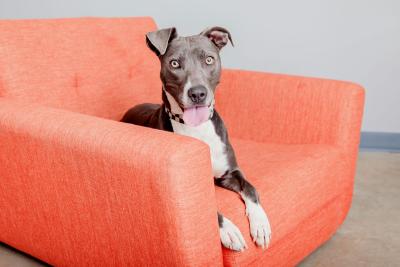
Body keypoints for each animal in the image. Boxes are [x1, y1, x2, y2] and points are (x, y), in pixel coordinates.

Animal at [121, 26, 272, 252]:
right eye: (174, 63)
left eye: (209, 59)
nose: (198, 93)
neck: (197, 128)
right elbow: (209, 210)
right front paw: (228, 229)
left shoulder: (230, 173)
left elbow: (251, 189)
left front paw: (260, 223)